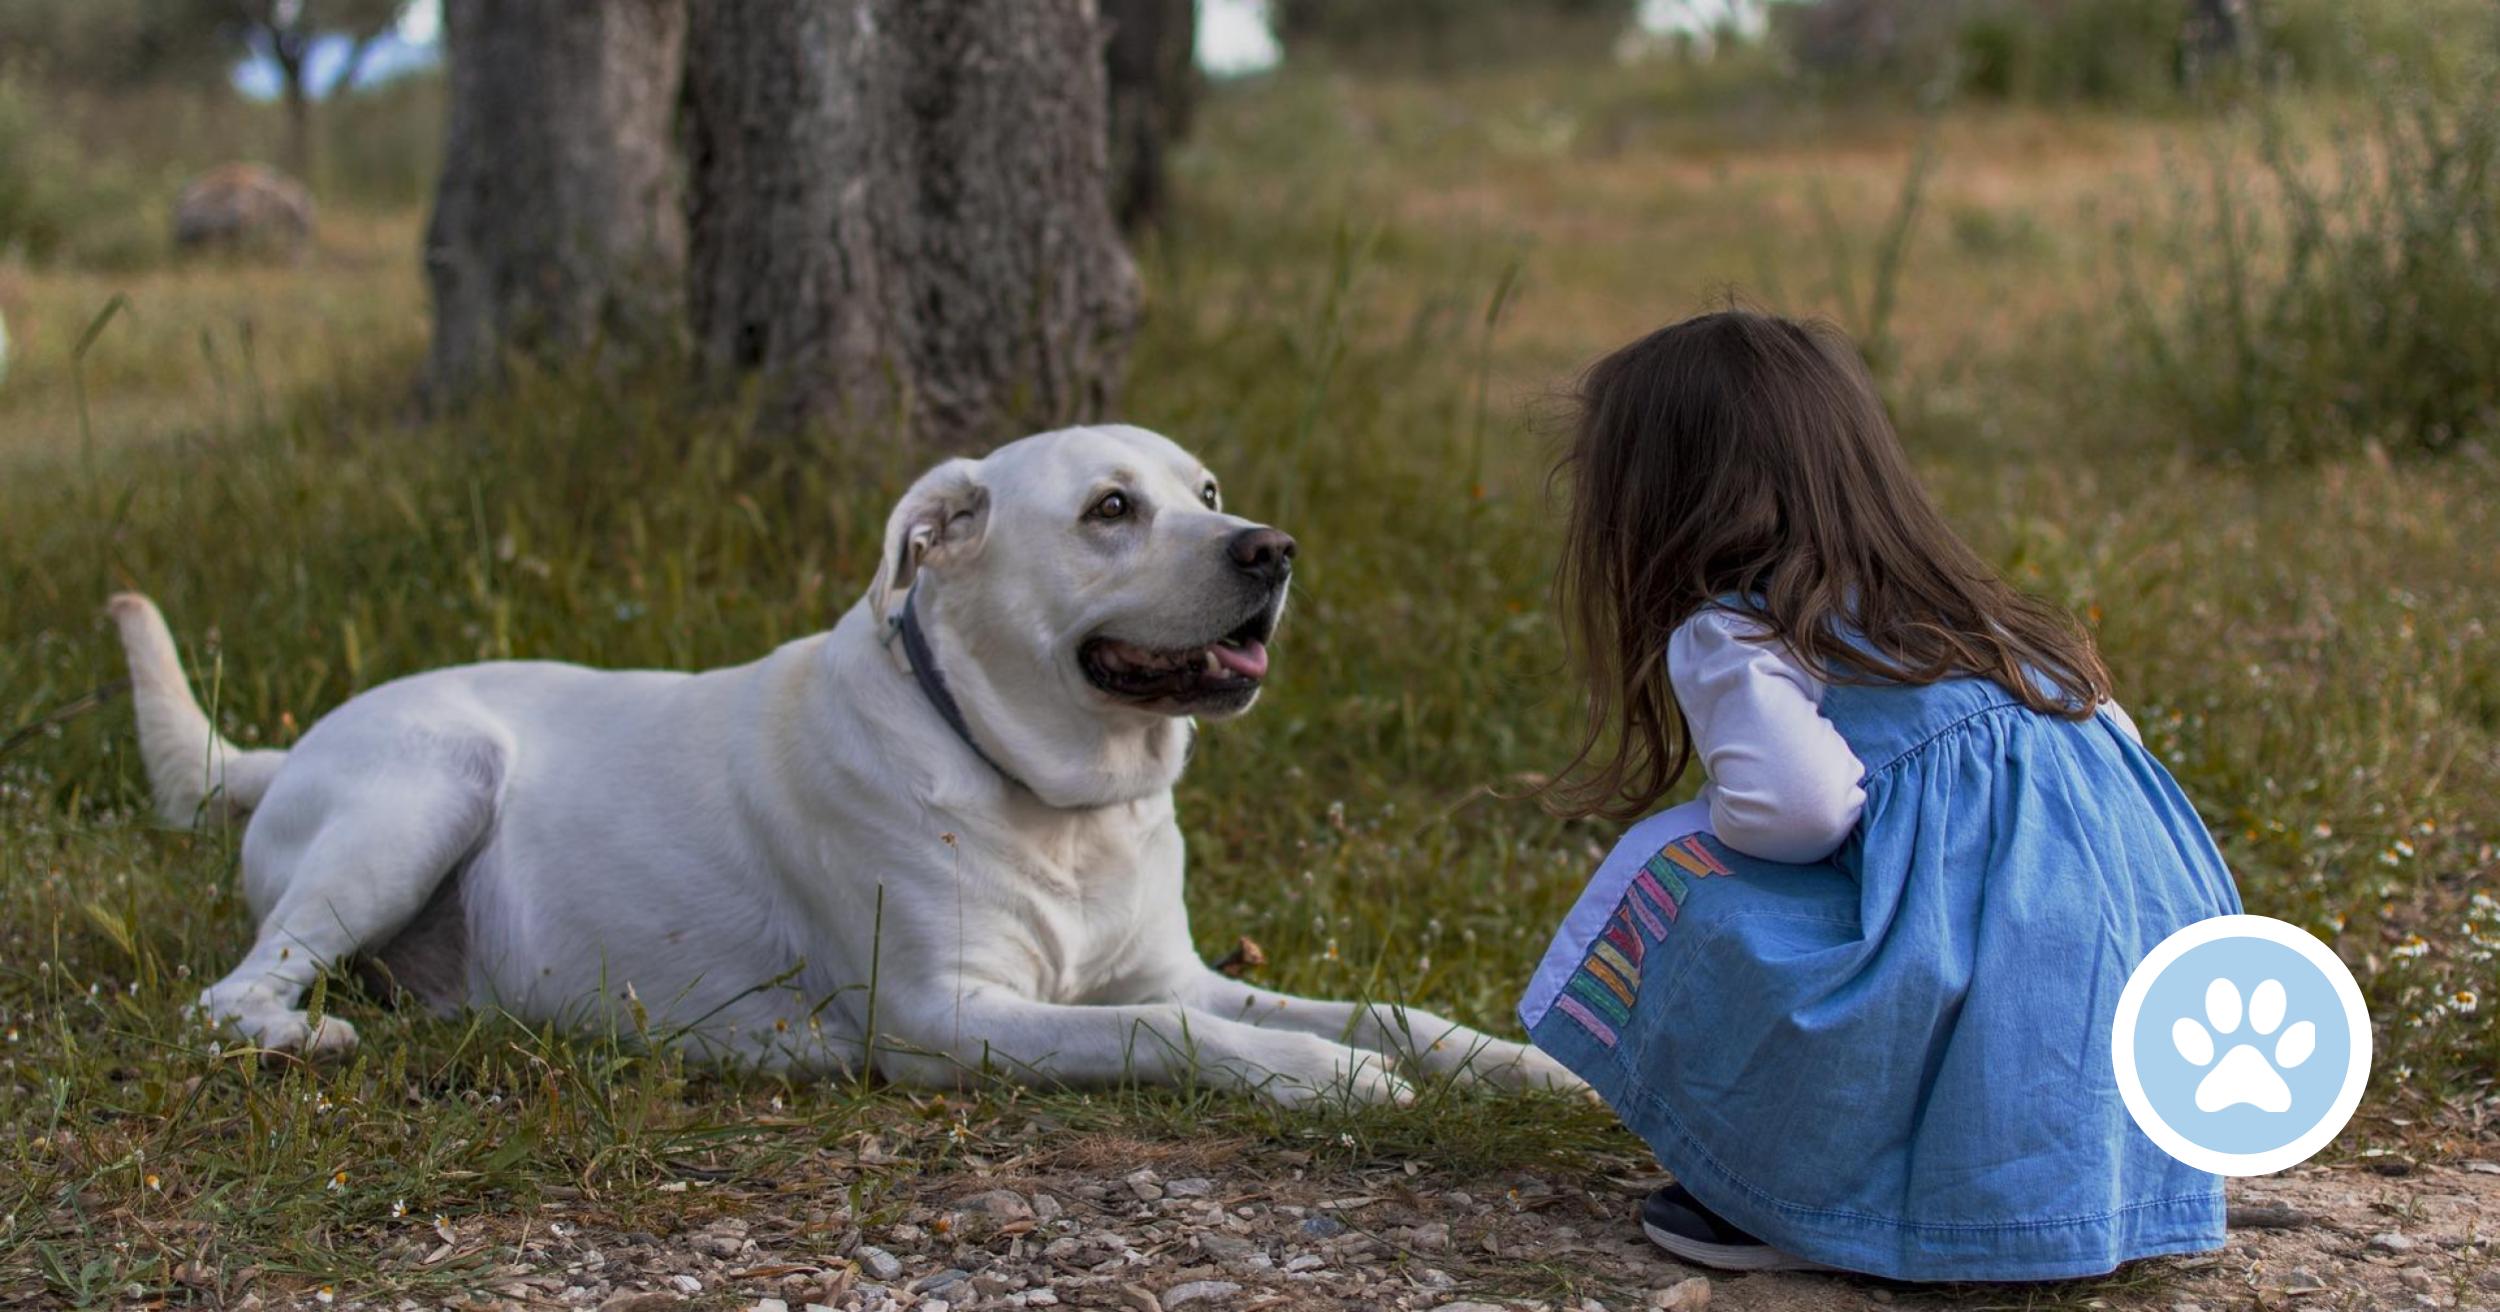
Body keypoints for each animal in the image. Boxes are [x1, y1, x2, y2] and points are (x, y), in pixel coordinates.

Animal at [117, 424, 1570, 1099]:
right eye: (1110, 509)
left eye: (1204, 493)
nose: (1271, 549)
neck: (1057, 798)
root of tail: (287, 747)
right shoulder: (947, 1015)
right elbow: (1165, 1035)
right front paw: (1331, 1082)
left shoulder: (1175, 968)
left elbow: (1379, 1007)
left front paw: (1516, 1065)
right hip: (425, 789)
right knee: (230, 994)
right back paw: (296, 1038)